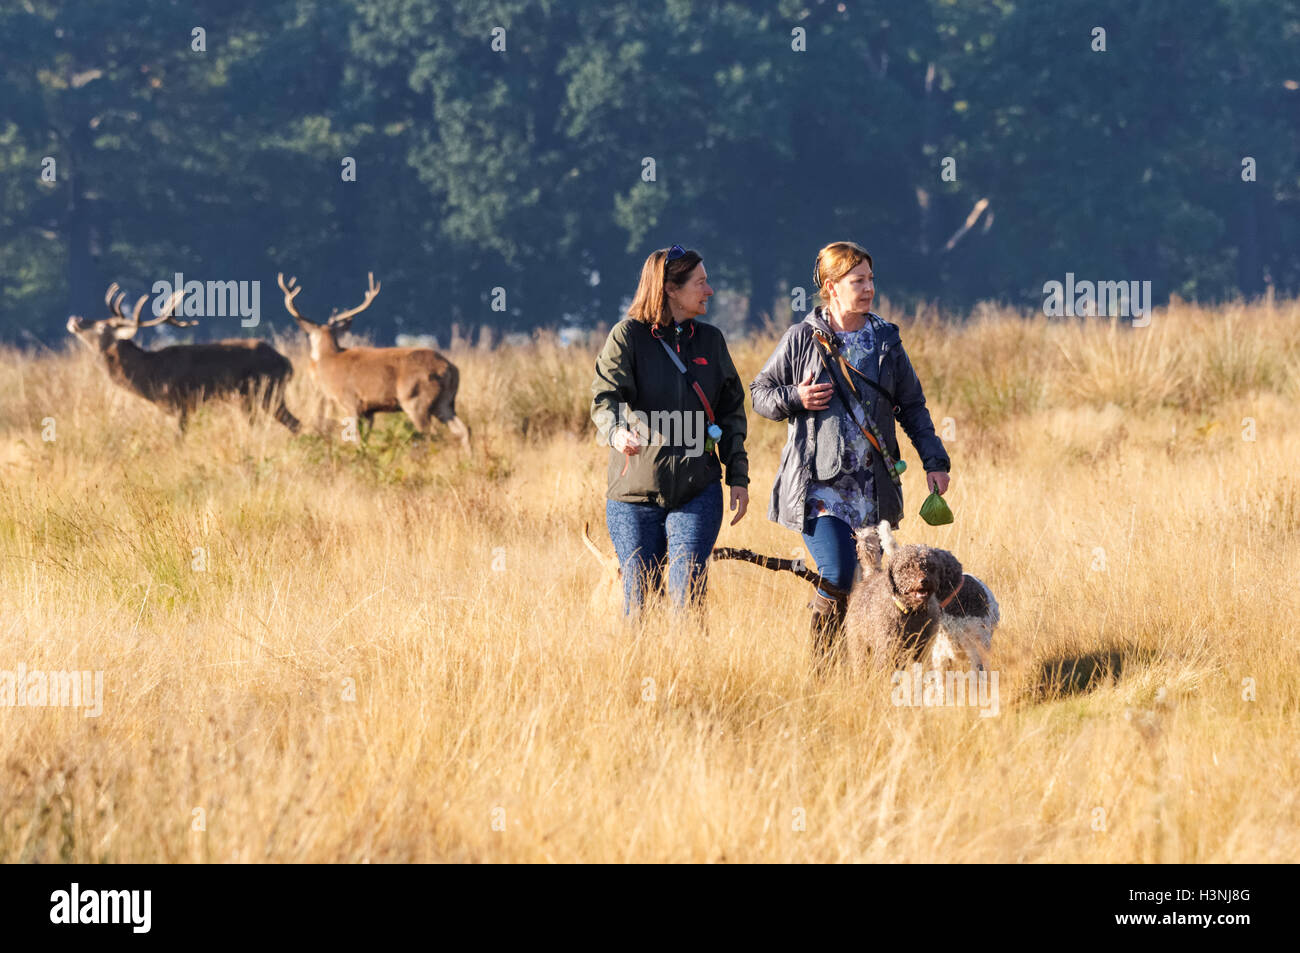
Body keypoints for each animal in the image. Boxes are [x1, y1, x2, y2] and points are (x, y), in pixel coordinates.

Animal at [71, 280, 304, 434]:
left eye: (102, 327)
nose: (74, 319)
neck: (150, 374)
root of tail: (287, 363)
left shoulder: (180, 405)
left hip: (263, 393)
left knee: (293, 423)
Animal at [276, 267, 470, 447]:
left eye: (310, 337)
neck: (329, 361)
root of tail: (450, 368)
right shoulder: (369, 410)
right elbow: (365, 440)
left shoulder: (351, 401)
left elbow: (355, 438)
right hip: (445, 402)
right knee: (463, 429)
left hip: (416, 399)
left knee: (430, 434)